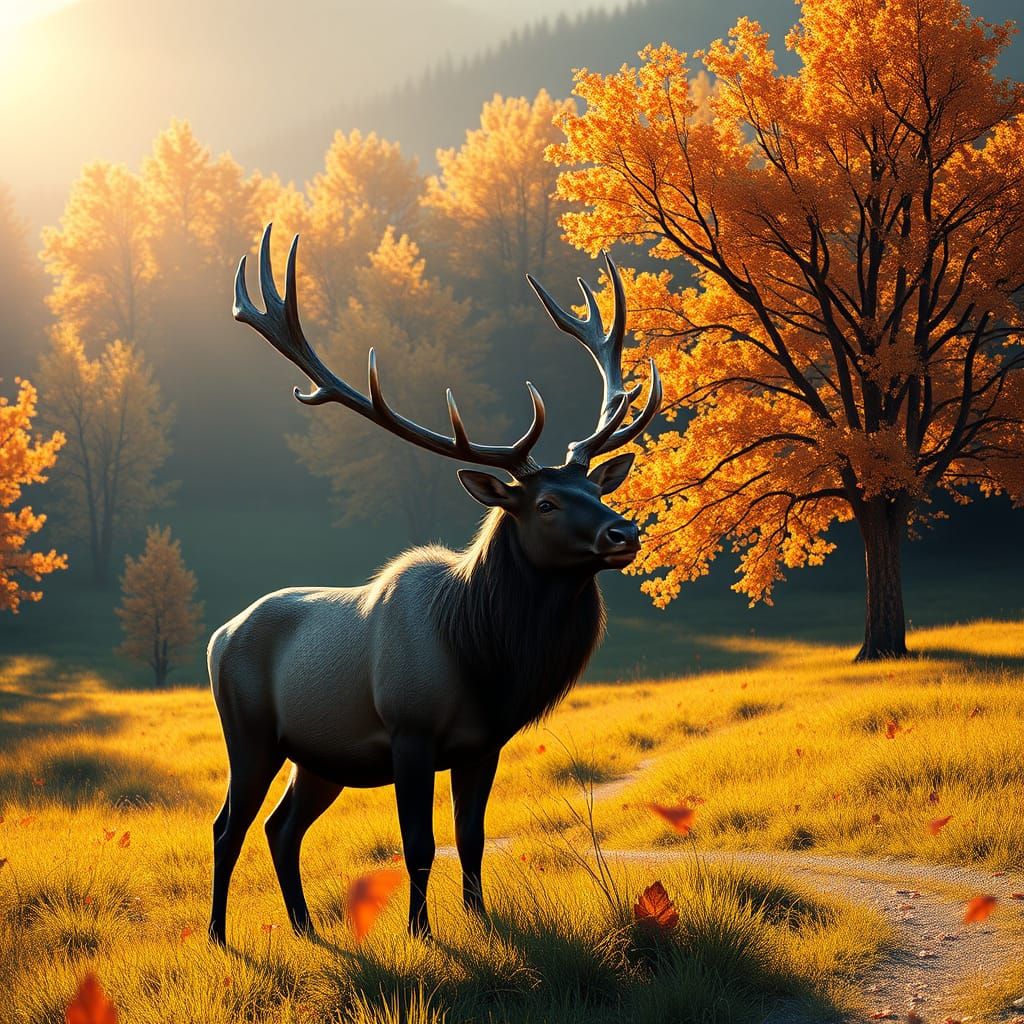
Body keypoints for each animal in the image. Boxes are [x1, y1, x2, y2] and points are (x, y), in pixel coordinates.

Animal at [207, 224, 662, 945]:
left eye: (596, 490)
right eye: (546, 504)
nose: (625, 533)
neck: (482, 657)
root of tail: (219, 635)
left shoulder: (484, 745)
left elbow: (470, 838)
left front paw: (480, 920)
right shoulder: (410, 731)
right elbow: (419, 844)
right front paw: (421, 934)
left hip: (318, 756)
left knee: (282, 827)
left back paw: (306, 928)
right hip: (247, 730)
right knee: (230, 825)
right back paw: (220, 935)